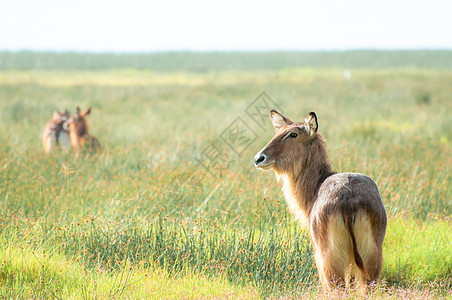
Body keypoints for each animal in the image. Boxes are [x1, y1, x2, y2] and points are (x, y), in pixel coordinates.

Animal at [252, 110, 386, 292]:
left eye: (293, 134)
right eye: (278, 132)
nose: (259, 158)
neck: (317, 185)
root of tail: (349, 199)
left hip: (328, 260)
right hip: (371, 256)